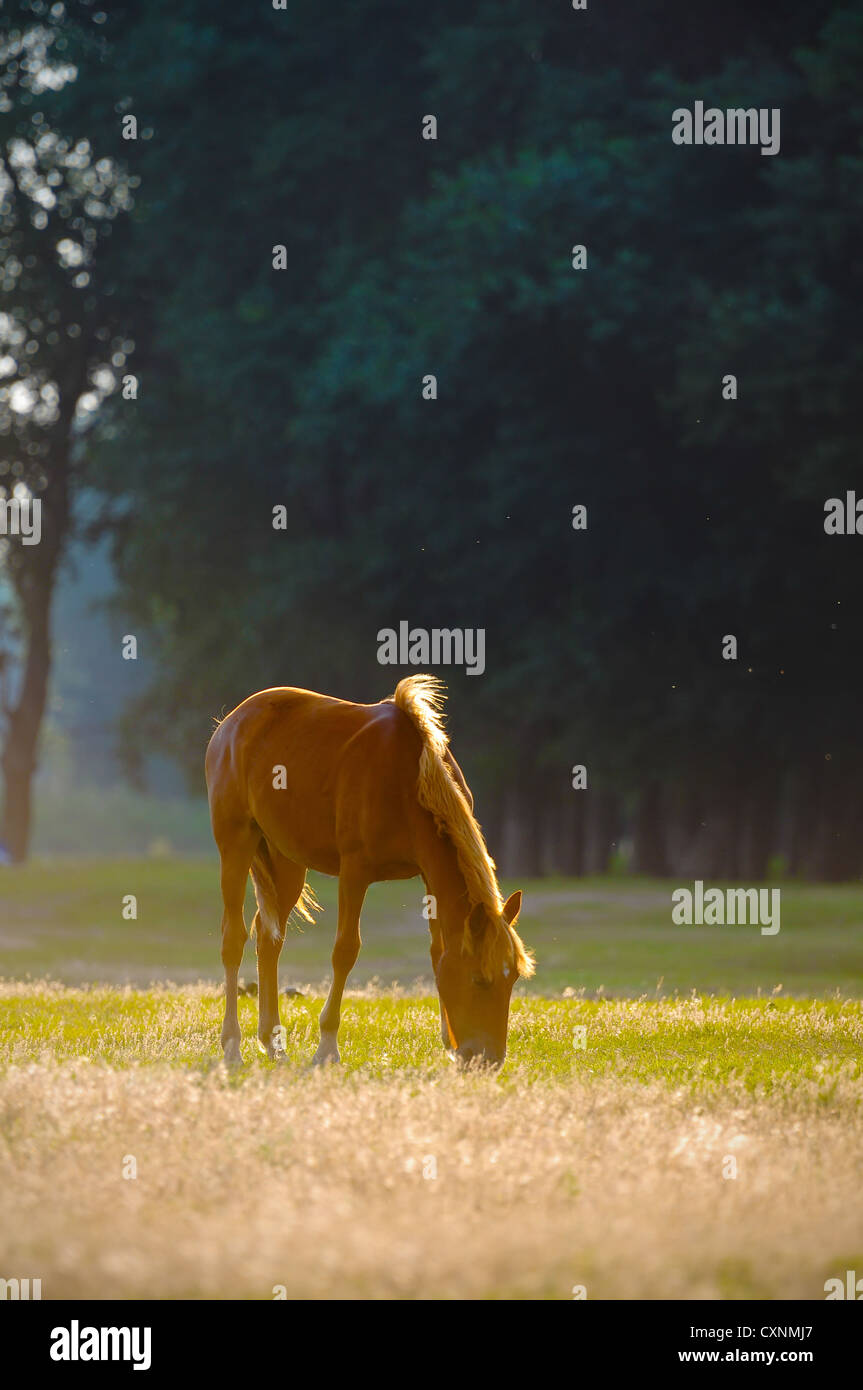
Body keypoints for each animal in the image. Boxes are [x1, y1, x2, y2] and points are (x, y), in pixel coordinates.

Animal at [208, 678, 530, 1067]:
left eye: (513, 977)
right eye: (480, 979)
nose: (488, 1059)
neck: (408, 780)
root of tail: (230, 723)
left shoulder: (428, 876)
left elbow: (438, 950)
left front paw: (448, 1043)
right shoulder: (355, 871)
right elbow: (345, 950)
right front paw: (327, 1048)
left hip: (286, 861)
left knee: (269, 938)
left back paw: (273, 1043)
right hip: (236, 843)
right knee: (233, 938)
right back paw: (232, 1045)